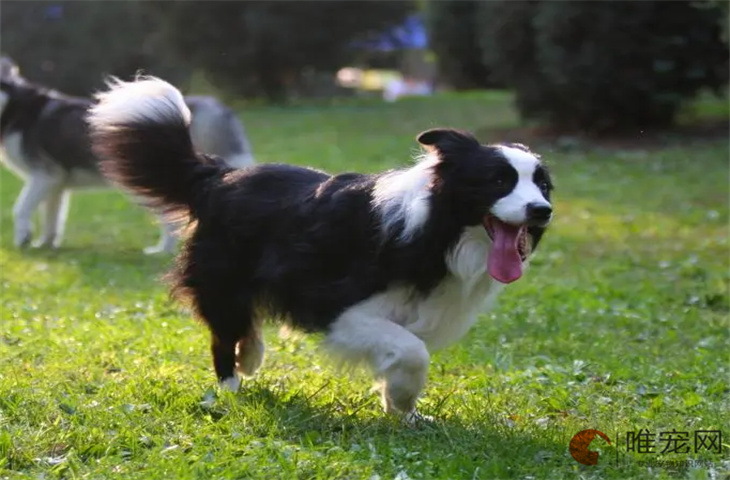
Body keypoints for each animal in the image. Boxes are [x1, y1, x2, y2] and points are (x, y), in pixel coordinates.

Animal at [0, 57, 256, 255]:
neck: (13, 108)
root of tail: (213, 106)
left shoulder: (43, 176)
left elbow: (20, 208)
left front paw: (23, 239)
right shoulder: (56, 183)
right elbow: (52, 218)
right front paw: (45, 244)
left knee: (171, 221)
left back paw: (161, 251)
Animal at [86, 78, 552, 420]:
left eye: (543, 185)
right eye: (498, 180)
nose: (543, 211)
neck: (439, 230)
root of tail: (218, 176)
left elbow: (403, 352)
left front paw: (404, 414)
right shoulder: (338, 306)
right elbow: (411, 351)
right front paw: (403, 401)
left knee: (245, 323)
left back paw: (251, 357)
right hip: (224, 274)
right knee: (223, 332)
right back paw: (232, 386)